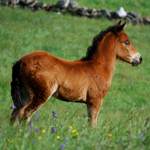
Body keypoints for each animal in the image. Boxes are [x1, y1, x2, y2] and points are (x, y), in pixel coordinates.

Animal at [10, 21, 142, 126]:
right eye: (127, 42)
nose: (140, 59)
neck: (99, 67)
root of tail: (20, 62)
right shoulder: (95, 100)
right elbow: (92, 124)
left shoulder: (89, 102)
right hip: (41, 94)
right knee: (24, 113)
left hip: (25, 93)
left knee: (15, 113)